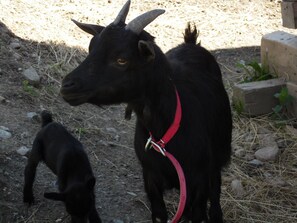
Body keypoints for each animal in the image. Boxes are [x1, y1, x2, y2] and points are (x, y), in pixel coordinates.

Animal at [59, 0, 231, 222]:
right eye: (91, 48)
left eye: (122, 59)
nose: (67, 86)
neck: (165, 133)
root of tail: (191, 43)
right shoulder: (150, 177)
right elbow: (159, 213)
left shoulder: (198, 181)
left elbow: (200, 210)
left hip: (218, 155)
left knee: (216, 189)